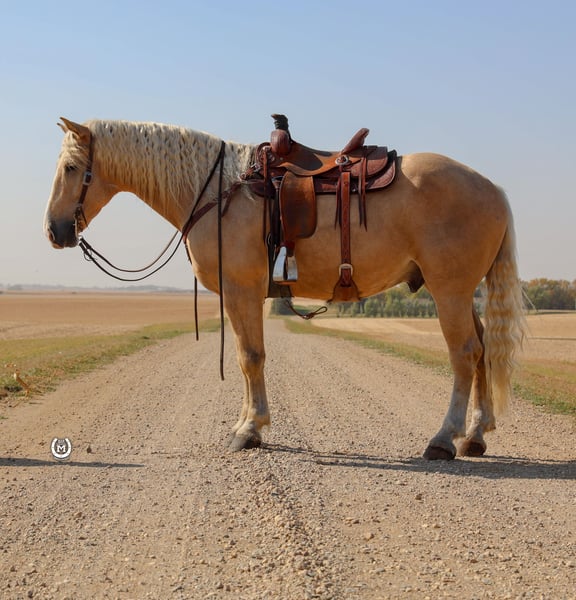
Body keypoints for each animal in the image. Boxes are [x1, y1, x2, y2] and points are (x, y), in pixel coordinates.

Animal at [44, 117, 525, 460]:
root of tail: (494, 189)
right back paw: (476, 435)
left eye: (70, 168)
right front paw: (246, 424)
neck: (219, 191)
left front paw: (250, 429)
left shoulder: (242, 290)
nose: (54, 230)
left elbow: (249, 356)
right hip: (460, 293)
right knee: (482, 350)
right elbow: (247, 359)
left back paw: (444, 439)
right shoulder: (244, 295)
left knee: (464, 354)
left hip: (449, 291)